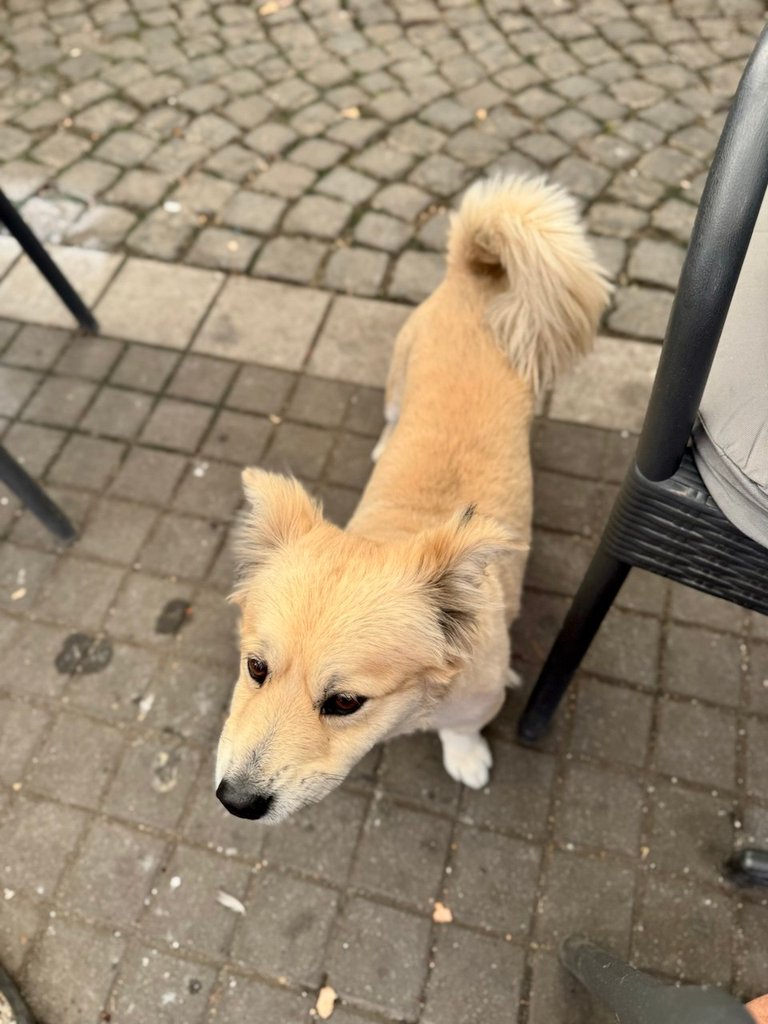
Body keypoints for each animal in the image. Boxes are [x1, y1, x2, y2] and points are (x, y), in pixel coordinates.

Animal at [214, 176, 610, 823]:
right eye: (256, 668)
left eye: (345, 701)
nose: (235, 802)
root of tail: (472, 278)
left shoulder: (479, 698)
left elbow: (462, 729)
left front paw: (465, 755)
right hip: (398, 378)